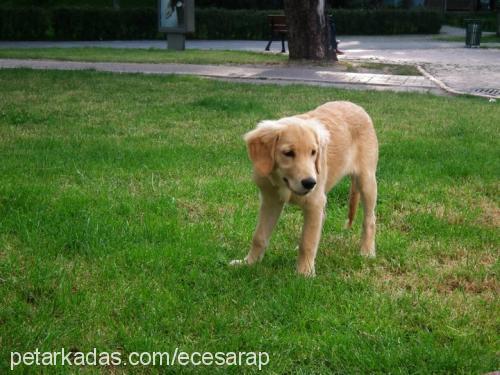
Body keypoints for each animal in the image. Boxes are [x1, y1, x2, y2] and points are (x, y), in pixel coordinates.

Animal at [230, 101, 378, 278]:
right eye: (288, 153)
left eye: (313, 153)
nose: (310, 183)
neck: (283, 183)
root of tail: (355, 105)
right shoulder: (270, 200)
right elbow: (259, 236)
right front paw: (249, 262)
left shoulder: (314, 201)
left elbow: (307, 242)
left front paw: (304, 273)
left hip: (366, 180)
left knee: (370, 219)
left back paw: (367, 251)